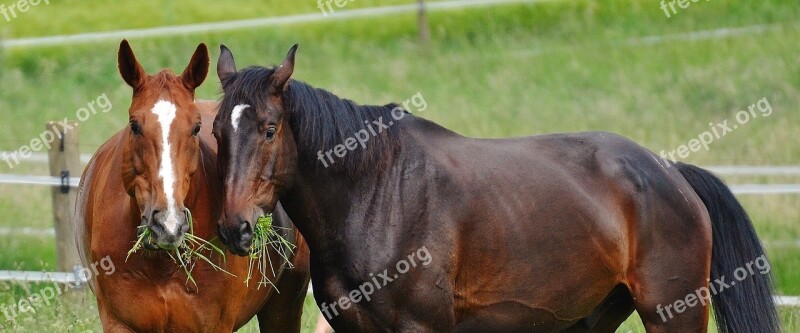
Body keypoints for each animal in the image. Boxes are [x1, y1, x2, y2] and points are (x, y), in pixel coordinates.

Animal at [75, 41, 310, 332]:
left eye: (197, 128)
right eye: (135, 126)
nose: (168, 224)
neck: (161, 265)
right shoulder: (117, 323)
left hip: (284, 306)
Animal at [209, 44, 780, 332]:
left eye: (268, 129)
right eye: (216, 131)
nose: (236, 229)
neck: (375, 195)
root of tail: (669, 172)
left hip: (672, 314)